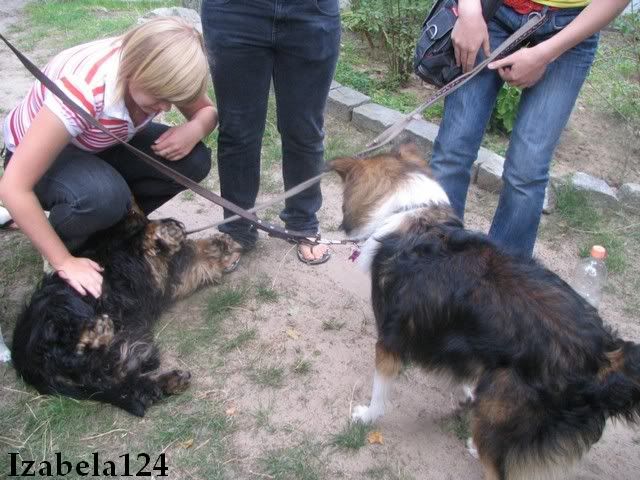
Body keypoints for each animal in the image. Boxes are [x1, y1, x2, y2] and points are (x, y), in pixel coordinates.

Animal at [11, 208, 241, 417]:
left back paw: (172, 381)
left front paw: (221, 247)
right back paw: (95, 332)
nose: (238, 248)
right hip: (60, 309)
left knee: (128, 383)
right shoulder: (137, 254)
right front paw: (168, 232)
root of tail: (25, 365)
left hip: (111, 358)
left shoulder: (171, 277)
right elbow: (147, 238)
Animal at [330, 144, 640, 480]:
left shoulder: (389, 340)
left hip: (496, 410)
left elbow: (379, 390)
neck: (409, 213)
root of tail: (603, 355)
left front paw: (367, 416)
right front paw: (466, 391)